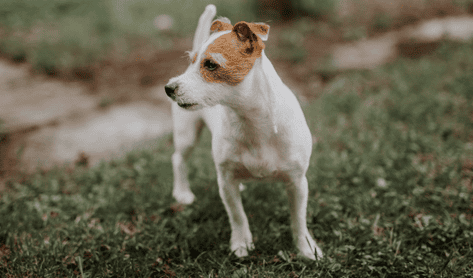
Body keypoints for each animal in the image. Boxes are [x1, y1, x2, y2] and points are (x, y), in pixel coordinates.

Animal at [164, 4, 322, 260]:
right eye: (192, 61)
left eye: (210, 64)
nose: (168, 88)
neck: (252, 121)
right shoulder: (226, 181)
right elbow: (237, 216)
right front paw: (241, 244)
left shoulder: (297, 183)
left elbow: (298, 220)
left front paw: (306, 248)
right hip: (187, 135)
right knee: (178, 159)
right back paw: (182, 192)